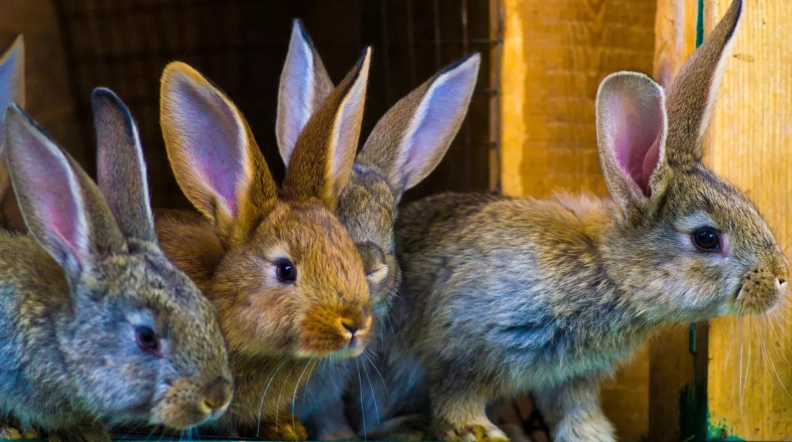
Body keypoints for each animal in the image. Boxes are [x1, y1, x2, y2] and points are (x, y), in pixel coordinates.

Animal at [361, 1, 788, 441]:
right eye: (706, 238)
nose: (780, 279)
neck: (608, 272)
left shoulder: (571, 378)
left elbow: (577, 414)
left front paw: (594, 435)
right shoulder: (465, 346)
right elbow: (455, 398)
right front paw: (481, 432)